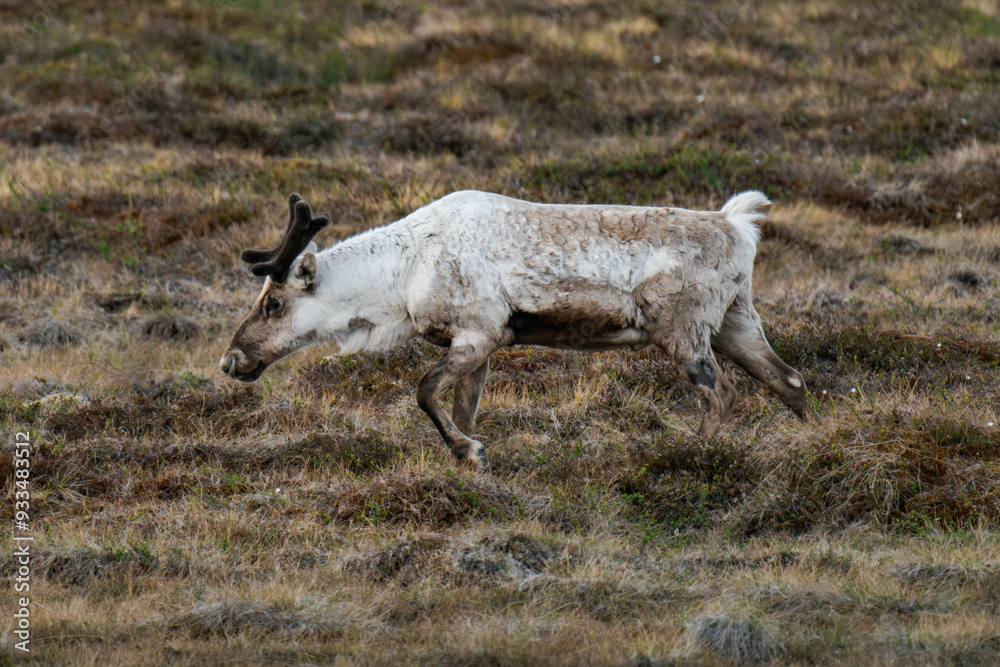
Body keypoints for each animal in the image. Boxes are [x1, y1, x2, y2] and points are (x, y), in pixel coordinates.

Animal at [220, 191, 807, 470]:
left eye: (274, 302)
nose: (230, 361)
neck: (403, 276)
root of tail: (738, 224)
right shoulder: (480, 346)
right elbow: (460, 407)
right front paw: (470, 459)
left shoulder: (479, 333)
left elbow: (423, 392)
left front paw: (470, 453)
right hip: (736, 320)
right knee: (789, 379)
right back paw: (812, 439)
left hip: (682, 330)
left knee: (722, 392)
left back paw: (692, 455)